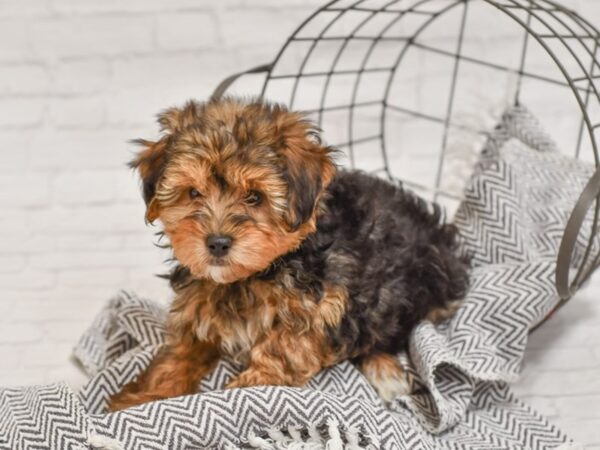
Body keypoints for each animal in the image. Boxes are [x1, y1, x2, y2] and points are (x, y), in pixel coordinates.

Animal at [110, 98, 472, 412]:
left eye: (254, 197)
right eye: (194, 193)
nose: (217, 243)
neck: (257, 274)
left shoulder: (323, 306)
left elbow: (284, 348)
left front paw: (245, 390)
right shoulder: (200, 305)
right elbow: (180, 352)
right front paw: (142, 397)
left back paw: (386, 370)